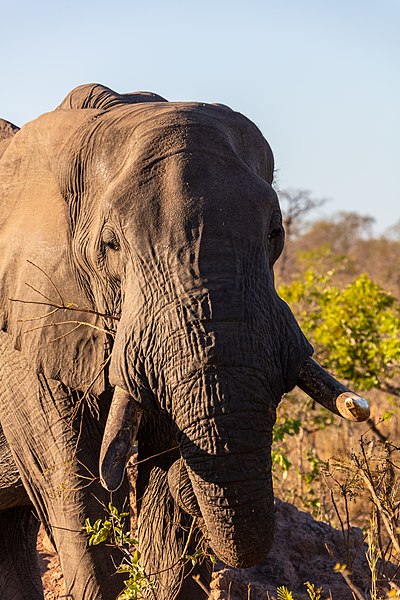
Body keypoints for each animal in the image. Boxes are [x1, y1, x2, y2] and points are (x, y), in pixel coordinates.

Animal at [0, 85, 368, 600]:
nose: (187, 480)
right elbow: (78, 493)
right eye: (111, 245)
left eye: (275, 234)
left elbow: (166, 530)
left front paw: (170, 483)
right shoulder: (27, 334)